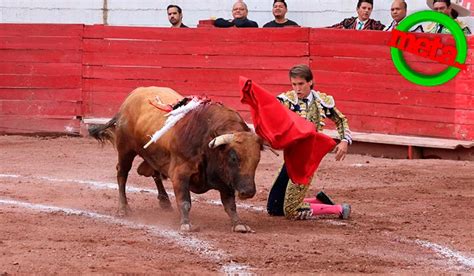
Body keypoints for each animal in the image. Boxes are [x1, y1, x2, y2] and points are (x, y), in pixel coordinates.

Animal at [89, 87, 262, 233]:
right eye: (233, 157)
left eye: (257, 160)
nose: (248, 192)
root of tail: (129, 98)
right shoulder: (180, 173)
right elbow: (185, 201)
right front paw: (186, 224)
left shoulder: (225, 179)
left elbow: (230, 204)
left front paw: (239, 224)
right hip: (125, 150)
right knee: (122, 174)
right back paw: (123, 208)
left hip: (154, 155)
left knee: (155, 173)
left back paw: (165, 201)